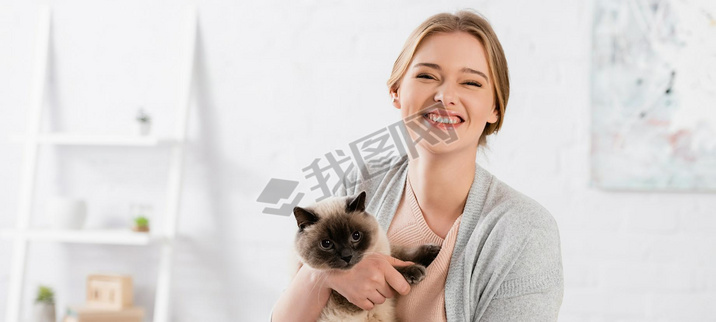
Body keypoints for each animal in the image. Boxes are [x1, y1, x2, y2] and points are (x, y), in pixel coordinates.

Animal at [292, 191, 442, 322]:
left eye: (356, 236)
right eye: (326, 244)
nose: (347, 256)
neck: (369, 257)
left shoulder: (384, 251)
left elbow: (402, 253)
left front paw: (434, 251)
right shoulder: (350, 301)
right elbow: (394, 267)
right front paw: (415, 270)